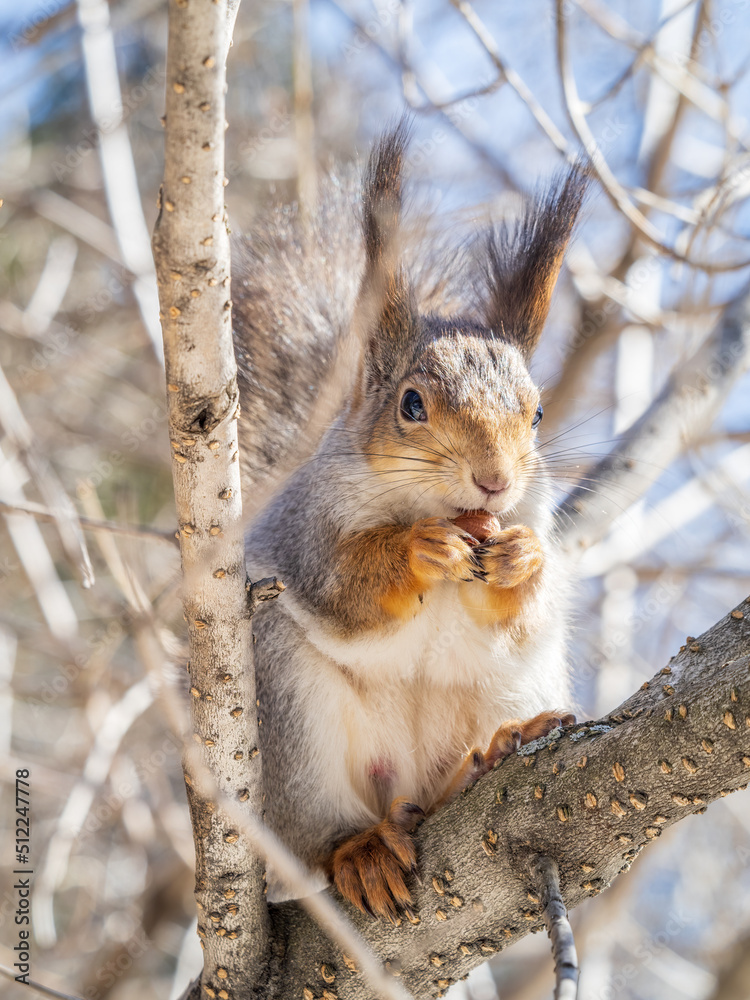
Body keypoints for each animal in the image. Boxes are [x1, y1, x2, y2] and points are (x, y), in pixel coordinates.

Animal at [232, 120, 586, 921]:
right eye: (412, 404)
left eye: (537, 414)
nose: (495, 481)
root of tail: (401, 788)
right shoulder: (307, 532)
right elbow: (345, 589)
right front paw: (416, 552)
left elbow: (524, 605)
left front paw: (520, 561)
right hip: (291, 716)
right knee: (320, 829)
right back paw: (358, 849)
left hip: (518, 681)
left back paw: (490, 756)